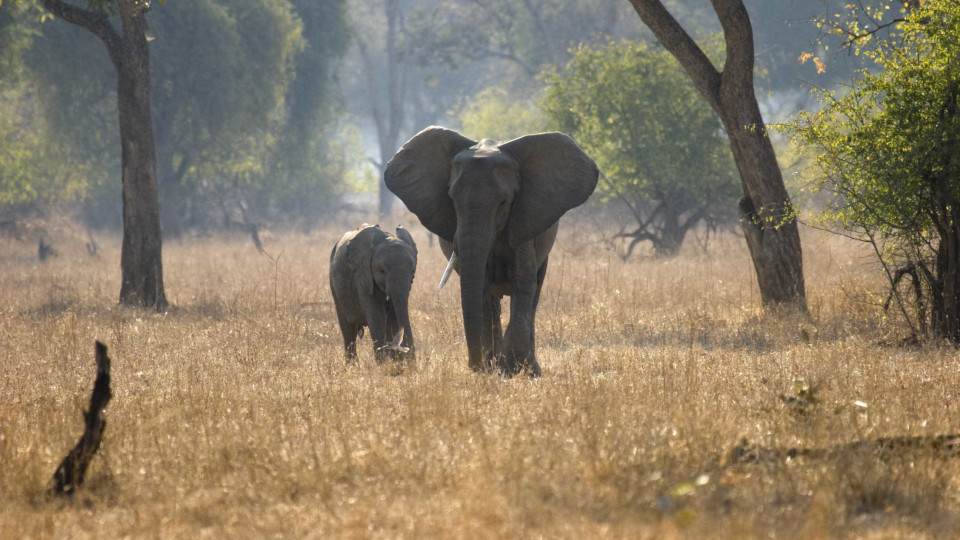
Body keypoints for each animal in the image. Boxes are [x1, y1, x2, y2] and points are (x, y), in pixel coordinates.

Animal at [330, 224, 416, 362]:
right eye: (381, 271)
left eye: (412, 271)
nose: (412, 363)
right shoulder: (362, 276)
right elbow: (377, 317)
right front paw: (384, 364)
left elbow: (394, 318)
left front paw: (394, 362)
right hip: (335, 286)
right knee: (348, 331)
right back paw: (352, 366)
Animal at [384, 126, 596, 376]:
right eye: (452, 199)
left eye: (504, 202)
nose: (472, 365)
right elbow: (482, 289)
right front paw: (493, 368)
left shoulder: (524, 219)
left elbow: (524, 282)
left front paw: (513, 368)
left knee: (534, 292)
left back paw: (529, 368)